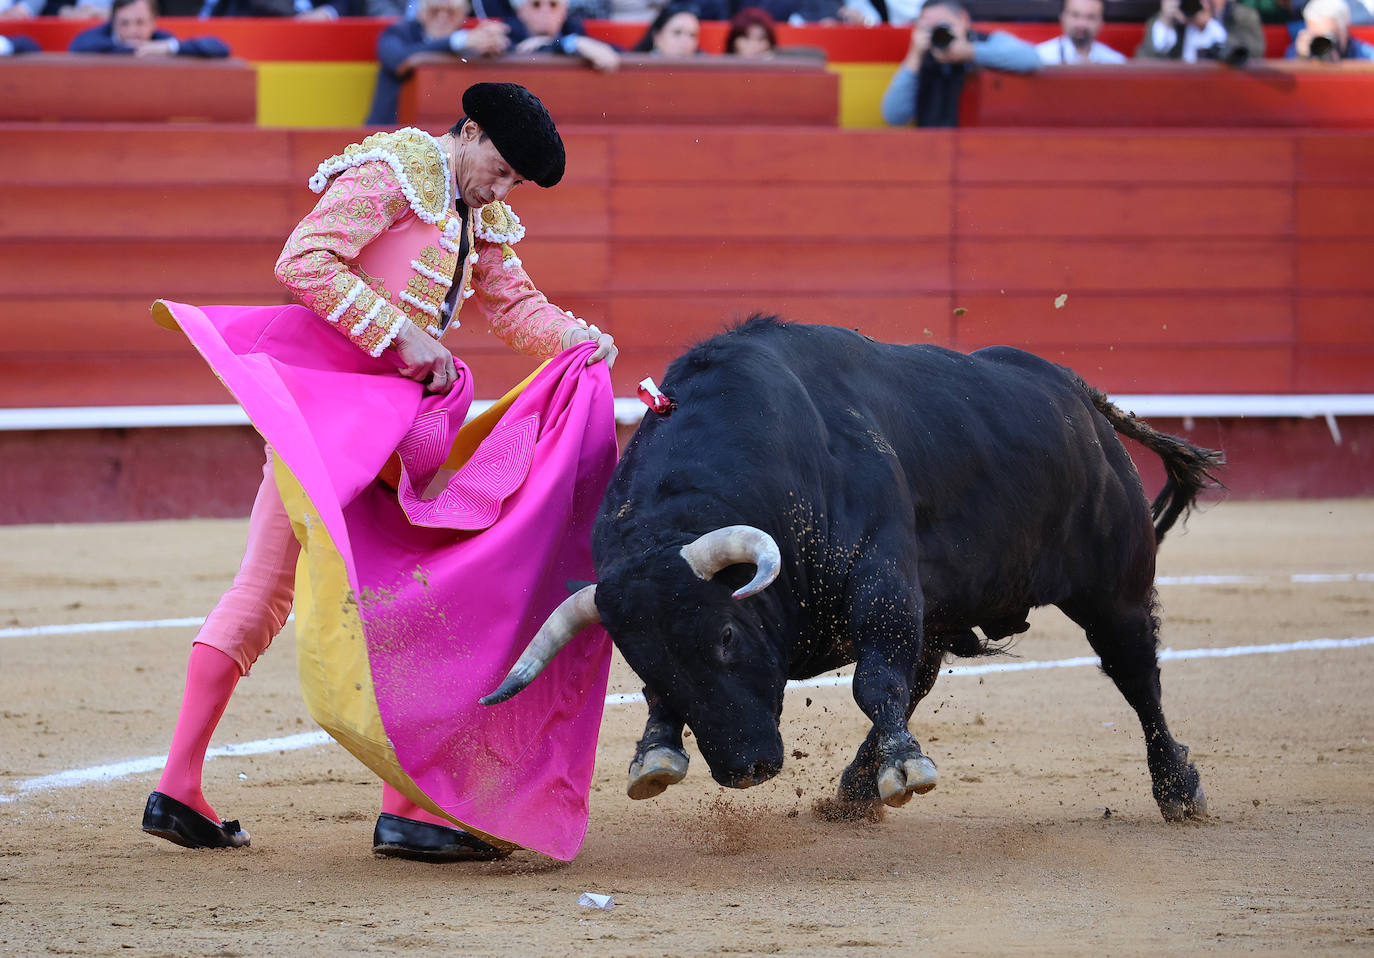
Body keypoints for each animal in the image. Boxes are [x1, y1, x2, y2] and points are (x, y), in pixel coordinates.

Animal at [486, 318, 1225, 824]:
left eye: (725, 636)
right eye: (640, 659)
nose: (746, 767)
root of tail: (1074, 394)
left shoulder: (882, 577)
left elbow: (874, 679)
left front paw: (908, 766)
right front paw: (653, 754)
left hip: (1114, 587)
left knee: (1137, 675)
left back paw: (1178, 792)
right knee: (920, 676)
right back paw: (857, 790)